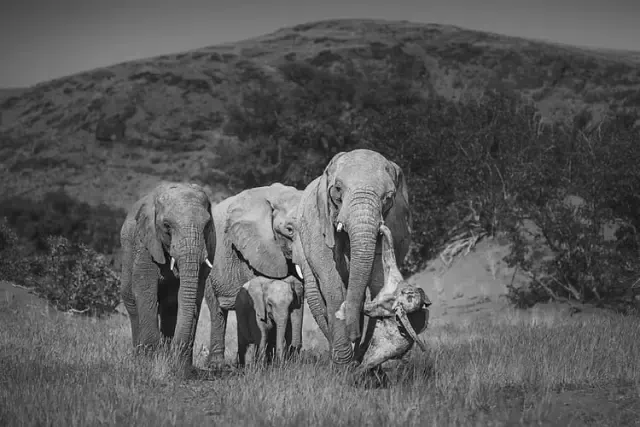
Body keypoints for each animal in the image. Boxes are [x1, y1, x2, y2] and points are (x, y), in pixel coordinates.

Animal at [120, 182, 216, 369]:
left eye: (207, 225)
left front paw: (180, 367)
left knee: (169, 307)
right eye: (167, 225)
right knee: (132, 305)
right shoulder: (145, 243)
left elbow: (192, 295)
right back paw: (139, 357)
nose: (177, 350)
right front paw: (149, 363)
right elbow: (145, 289)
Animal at [204, 183, 304, 367]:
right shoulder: (252, 249)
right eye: (289, 230)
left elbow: (299, 294)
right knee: (217, 311)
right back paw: (218, 365)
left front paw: (290, 363)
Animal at [292, 148, 431, 369]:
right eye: (338, 189)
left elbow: (376, 280)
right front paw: (343, 366)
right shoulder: (318, 225)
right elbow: (333, 284)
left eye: (389, 197)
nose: (354, 336)